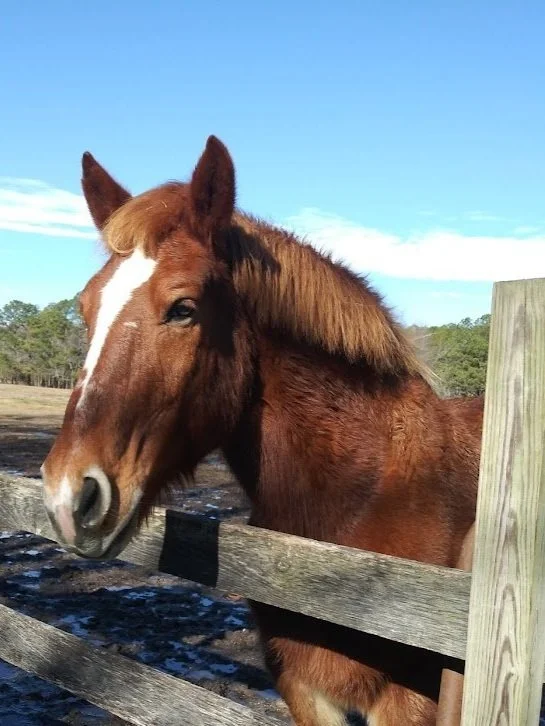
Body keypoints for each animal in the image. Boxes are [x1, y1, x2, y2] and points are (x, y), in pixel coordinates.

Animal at [41, 136, 484, 725]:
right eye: (86, 309)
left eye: (183, 308)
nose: (70, 498)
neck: (363, 495)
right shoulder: (303, 687)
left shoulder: (410, 704)